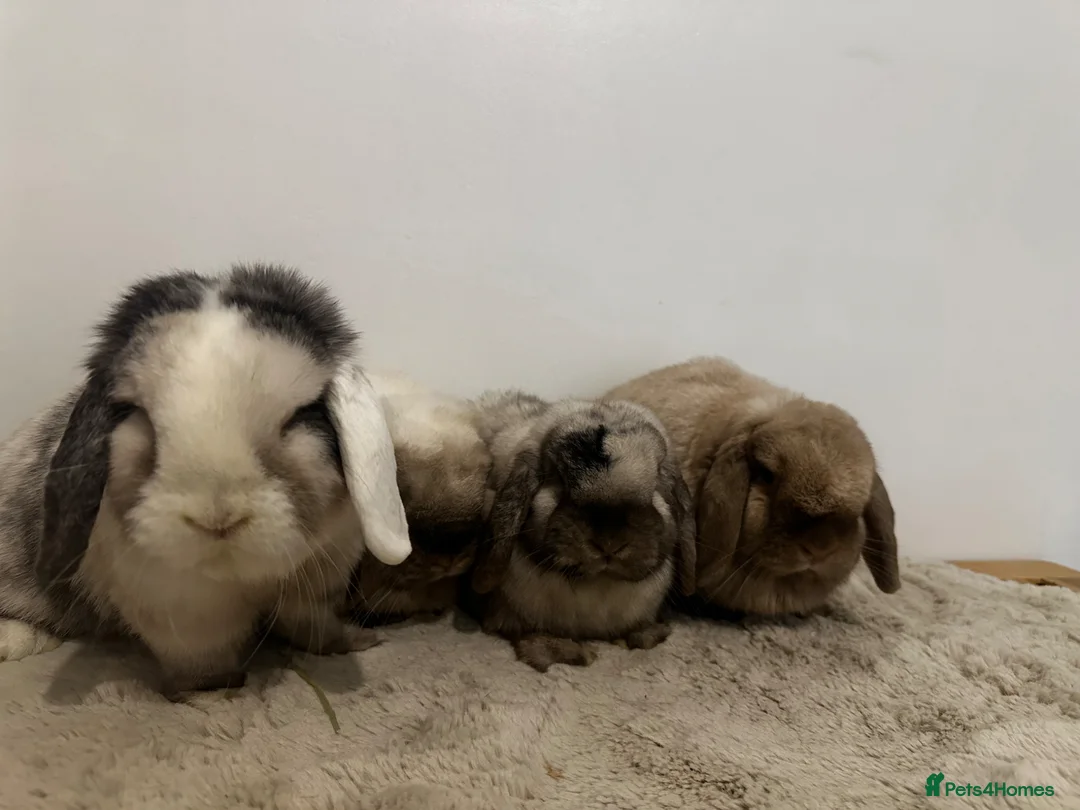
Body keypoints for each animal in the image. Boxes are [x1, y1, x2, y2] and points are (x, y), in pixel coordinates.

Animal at [0, 263, 412, 697]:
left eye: (302, 415)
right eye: (134, 413)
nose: (218, 517)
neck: (241, 576)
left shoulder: (320, 578)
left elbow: (313, 626)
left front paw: (361, 641)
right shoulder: (185, 614)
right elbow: (204, 663)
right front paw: (218, 691)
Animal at [464, 390, 696, 672]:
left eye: (655, 485)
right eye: (558, 480)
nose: (609, 543)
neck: (596, 585)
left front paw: (645, 635)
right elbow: (526, 632)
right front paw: (565, 653)